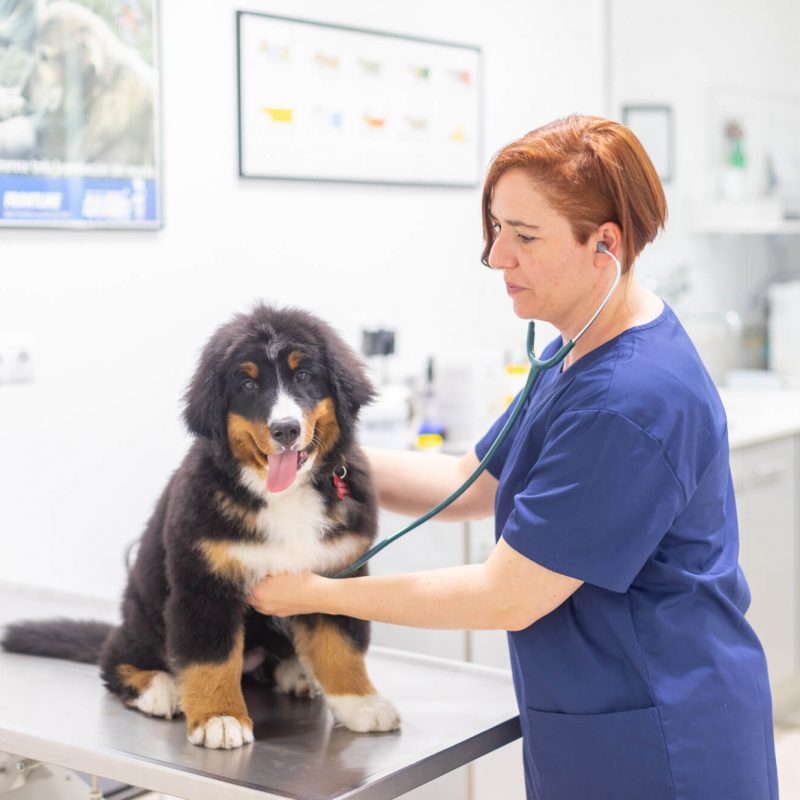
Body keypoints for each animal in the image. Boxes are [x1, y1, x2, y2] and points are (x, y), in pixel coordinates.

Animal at [0, 304, 400, 748]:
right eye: (247, 383)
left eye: (304, 376)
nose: (285, 429)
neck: (281, 495)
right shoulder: (204, 582)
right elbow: (212, 656)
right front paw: (219, 717)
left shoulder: (335, 573)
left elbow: (341, 647)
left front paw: (360, 704)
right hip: (143, 615)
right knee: (115, 659)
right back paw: (160, 687)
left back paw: (297, 673)